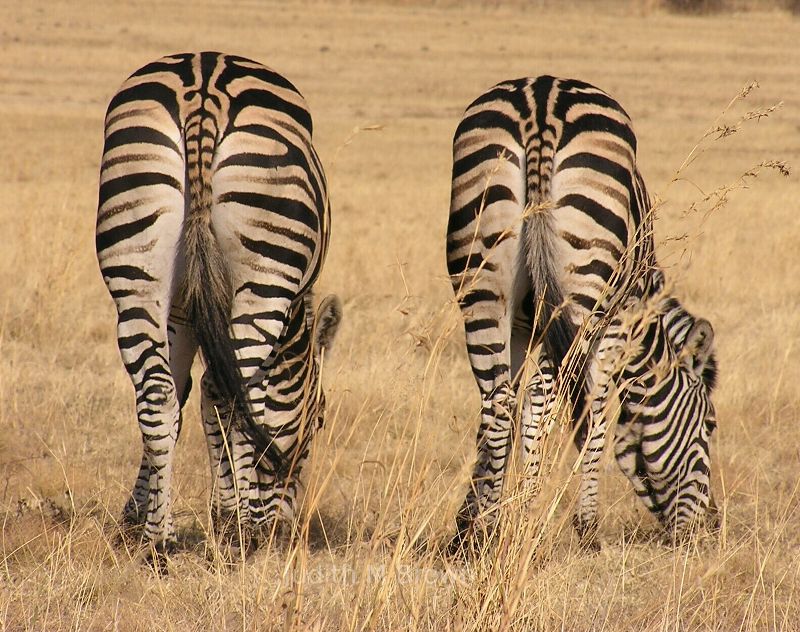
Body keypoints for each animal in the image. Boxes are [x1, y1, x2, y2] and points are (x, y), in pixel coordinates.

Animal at [96, 51, 340, 560]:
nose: (285, 532)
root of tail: (204, 90)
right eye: (320, 418)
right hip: (265, 271)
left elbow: (182, 395)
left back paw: (159, 544)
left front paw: (139, 517)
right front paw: (231, 515)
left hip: (137, 263)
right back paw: (237, 530)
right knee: (235, 391)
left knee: (156, 393)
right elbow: (225, 396)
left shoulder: (181, 313)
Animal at [450, 75, 720, 552]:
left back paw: (483, 535)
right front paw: (583, 524)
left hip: (483, 285)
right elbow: (594, 413)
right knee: (545, 404)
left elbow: (507, 412)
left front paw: (475, 513)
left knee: (498, 403)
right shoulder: (618, 322)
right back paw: (536, 520)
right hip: (582, 296)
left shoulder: (522, 328)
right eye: (709, 424)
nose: (710, 526)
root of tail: (541, 101)